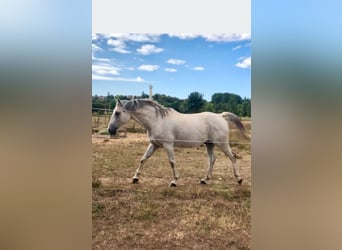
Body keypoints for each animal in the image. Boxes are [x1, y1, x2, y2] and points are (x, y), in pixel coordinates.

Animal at [108, 98, 247, 187]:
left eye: (117, 113)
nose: (110, 130)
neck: (157, 121)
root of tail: (220, 116)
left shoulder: (168, 145)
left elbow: (172, 162)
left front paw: (174, 181)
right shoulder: (154, 145)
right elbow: (143, 159)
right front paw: (135, 178)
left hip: (222, 143)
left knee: (232, 157)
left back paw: (239, 179)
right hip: (209, 144)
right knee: (212, 160)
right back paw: (204, 180)